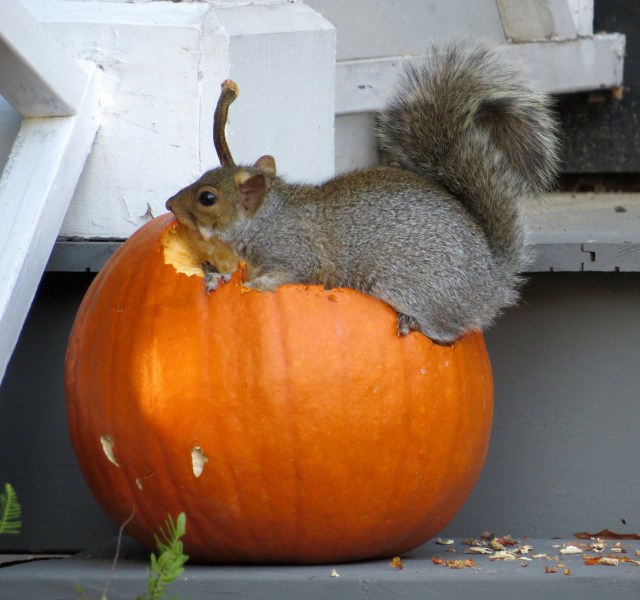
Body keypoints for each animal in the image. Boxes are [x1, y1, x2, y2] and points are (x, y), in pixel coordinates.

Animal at [165, 41, 560, 345]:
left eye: (207, 197)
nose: (170, 204)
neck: (267, 217)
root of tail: (491, 279)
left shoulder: (297, 252)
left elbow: (287, 272)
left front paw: (252, 284)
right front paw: (217, 275)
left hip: (413, 286)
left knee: (448, 332)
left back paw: (414, 323)